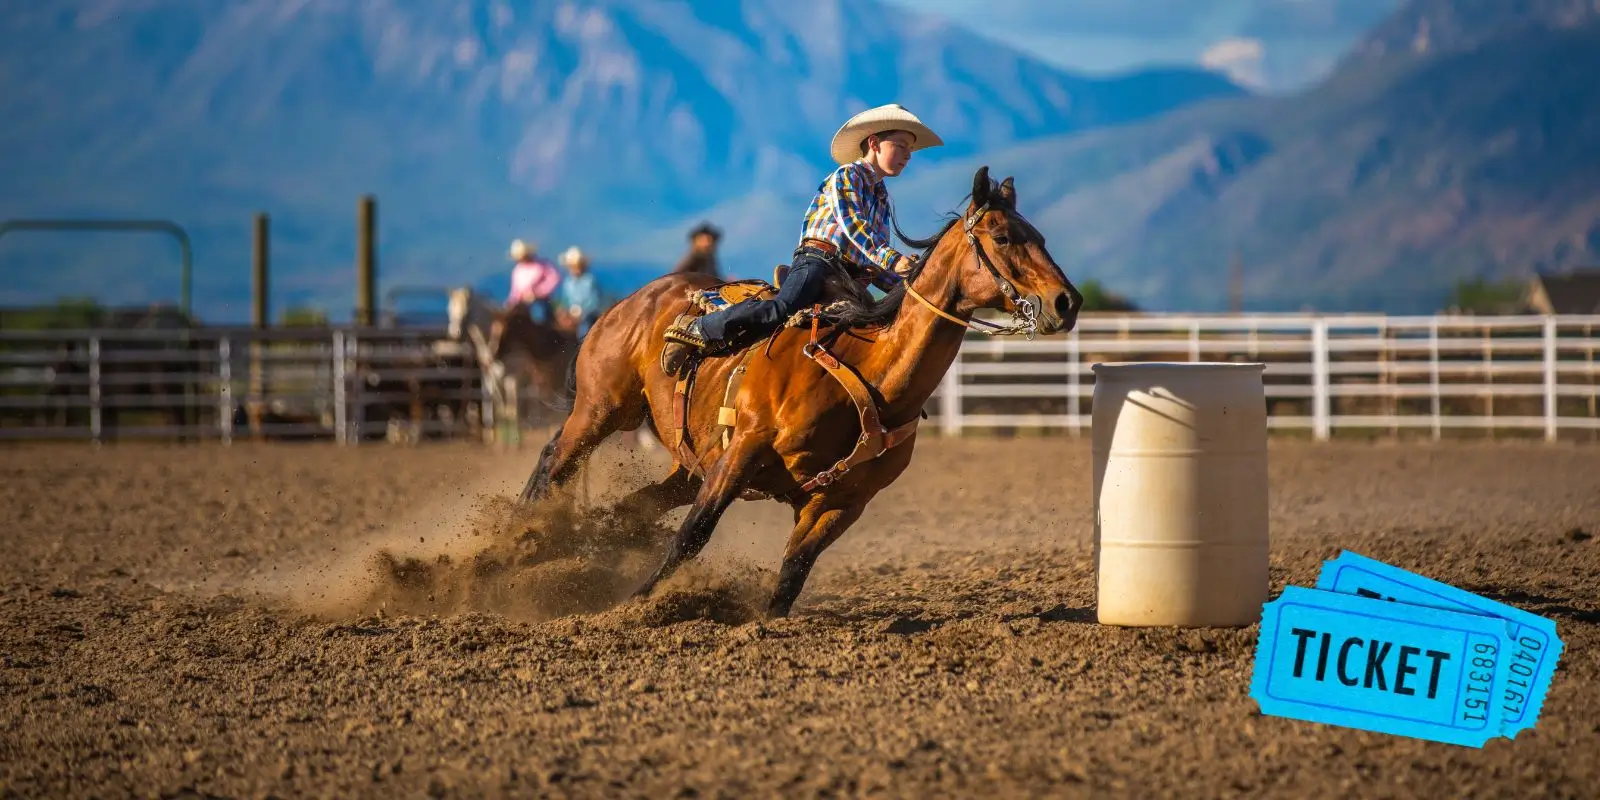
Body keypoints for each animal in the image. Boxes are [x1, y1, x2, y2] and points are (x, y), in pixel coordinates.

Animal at [518, 167, 1081, 617]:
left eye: (1040, 235)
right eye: (1003, 237)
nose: (1067, 301)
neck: (869, 374)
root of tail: (632, 300)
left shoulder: (842, 501)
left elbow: (793, 569)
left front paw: (768, 620)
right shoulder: (743, 451)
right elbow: (693, 533)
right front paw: (633, 603)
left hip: (687, 460)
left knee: (628, 511)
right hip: (602, 409)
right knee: (555, 457)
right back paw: (517, 536)